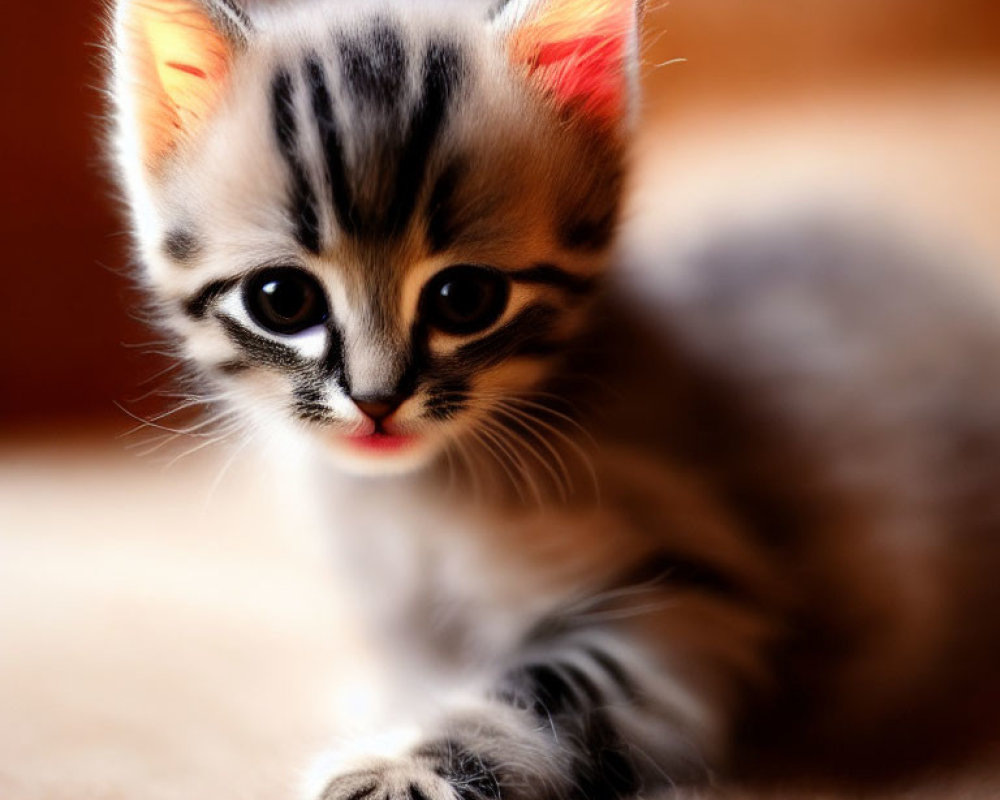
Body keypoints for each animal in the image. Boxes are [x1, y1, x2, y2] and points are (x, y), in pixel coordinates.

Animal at [109, 1, 1000, 800]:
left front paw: (402, 770)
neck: (415, 505)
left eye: (465, 299)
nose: (376, 400)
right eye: (282, 300)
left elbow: (552, 692)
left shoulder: (700, 594)